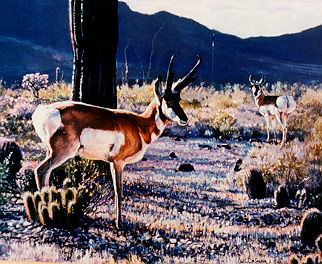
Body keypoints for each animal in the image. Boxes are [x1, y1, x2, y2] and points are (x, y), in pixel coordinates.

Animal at [32, 55, 201, 227]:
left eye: (178, 98)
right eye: (167, 100)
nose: (184, 119)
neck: (139, 123)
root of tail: (41, 111)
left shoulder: (112, 163)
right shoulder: (118, 162)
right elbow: (119, 191)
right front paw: (120, 223)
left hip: (51, 152)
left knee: (45, 174)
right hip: (62, 152)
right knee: (40, 170)